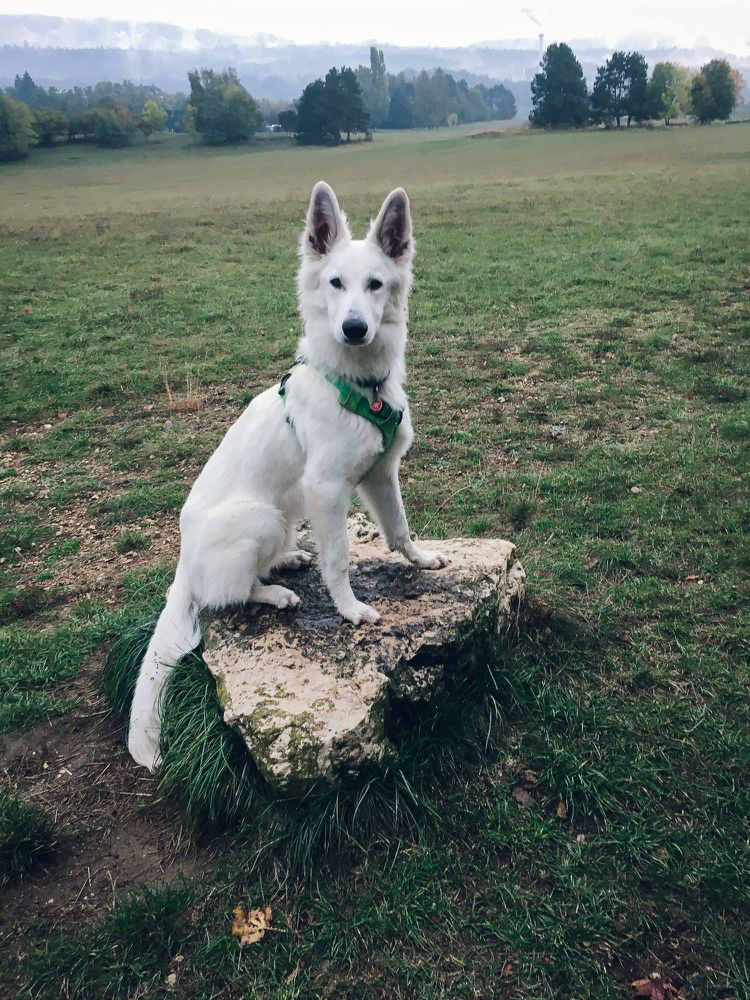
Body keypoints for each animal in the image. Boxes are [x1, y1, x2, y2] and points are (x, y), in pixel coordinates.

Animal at [128, 182, 452, 772]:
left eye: (376, 284)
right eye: (335, 283)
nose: (354, 328)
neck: (360, 386)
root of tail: (182, 564)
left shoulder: (380, 473)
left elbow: (398, 529)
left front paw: (419, 559)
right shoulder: (326, 490)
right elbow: (339, 560)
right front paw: (349, 610)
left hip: (283, 516)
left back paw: (289, 560)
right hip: (261, 515)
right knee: (226, 595)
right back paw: (275, 593)